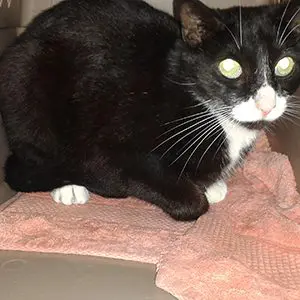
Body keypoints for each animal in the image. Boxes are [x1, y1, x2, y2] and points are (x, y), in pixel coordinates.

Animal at [0, 0, 300, 220]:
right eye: (230, 67)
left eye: (285, 64)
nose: (267, 104)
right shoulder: (107, 146)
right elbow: (191, 202)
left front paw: (213, 185)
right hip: (26, 86)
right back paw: (68, 187)